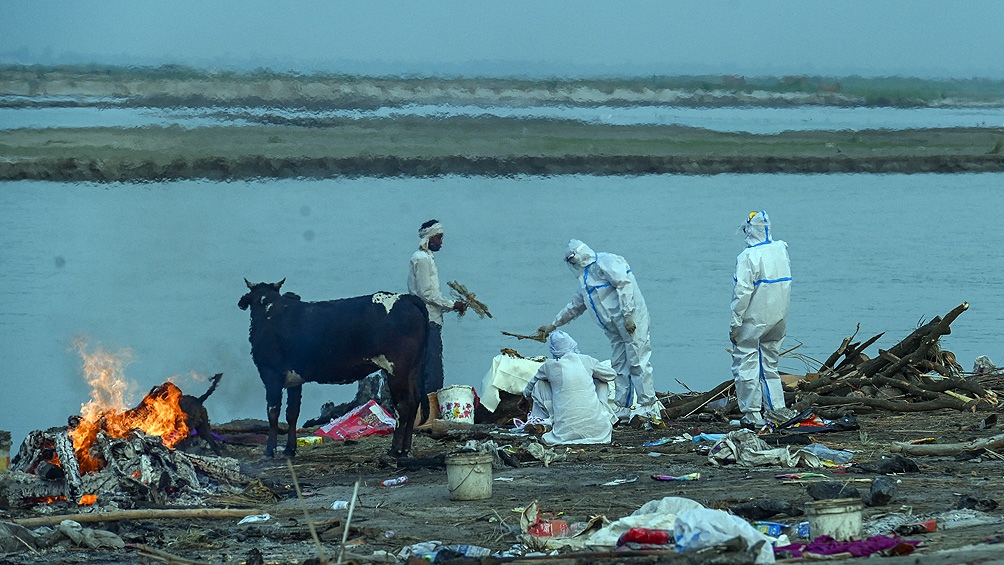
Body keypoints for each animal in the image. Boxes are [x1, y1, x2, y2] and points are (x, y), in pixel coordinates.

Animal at [237, 278, 427, 459]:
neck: (270, 311)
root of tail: (406, 298)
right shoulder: (294, 379)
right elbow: (292, 413)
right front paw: (289, 450)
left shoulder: (271, 374)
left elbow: (273, 412)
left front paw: (269, 451)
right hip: (413, 369)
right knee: (414, 400)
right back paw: (405, 450)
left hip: (396, 370)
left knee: (402, 405)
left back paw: (395, 450)